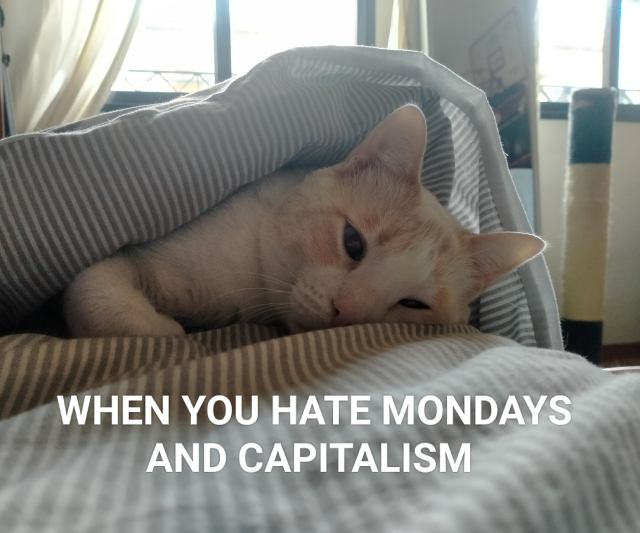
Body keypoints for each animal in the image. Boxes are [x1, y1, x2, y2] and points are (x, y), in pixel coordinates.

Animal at [63, 104, 544, 336]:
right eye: (353, 243)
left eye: (413, 305)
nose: (345, 315)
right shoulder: (133, 258)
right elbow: (96, 293)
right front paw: (165, 330)